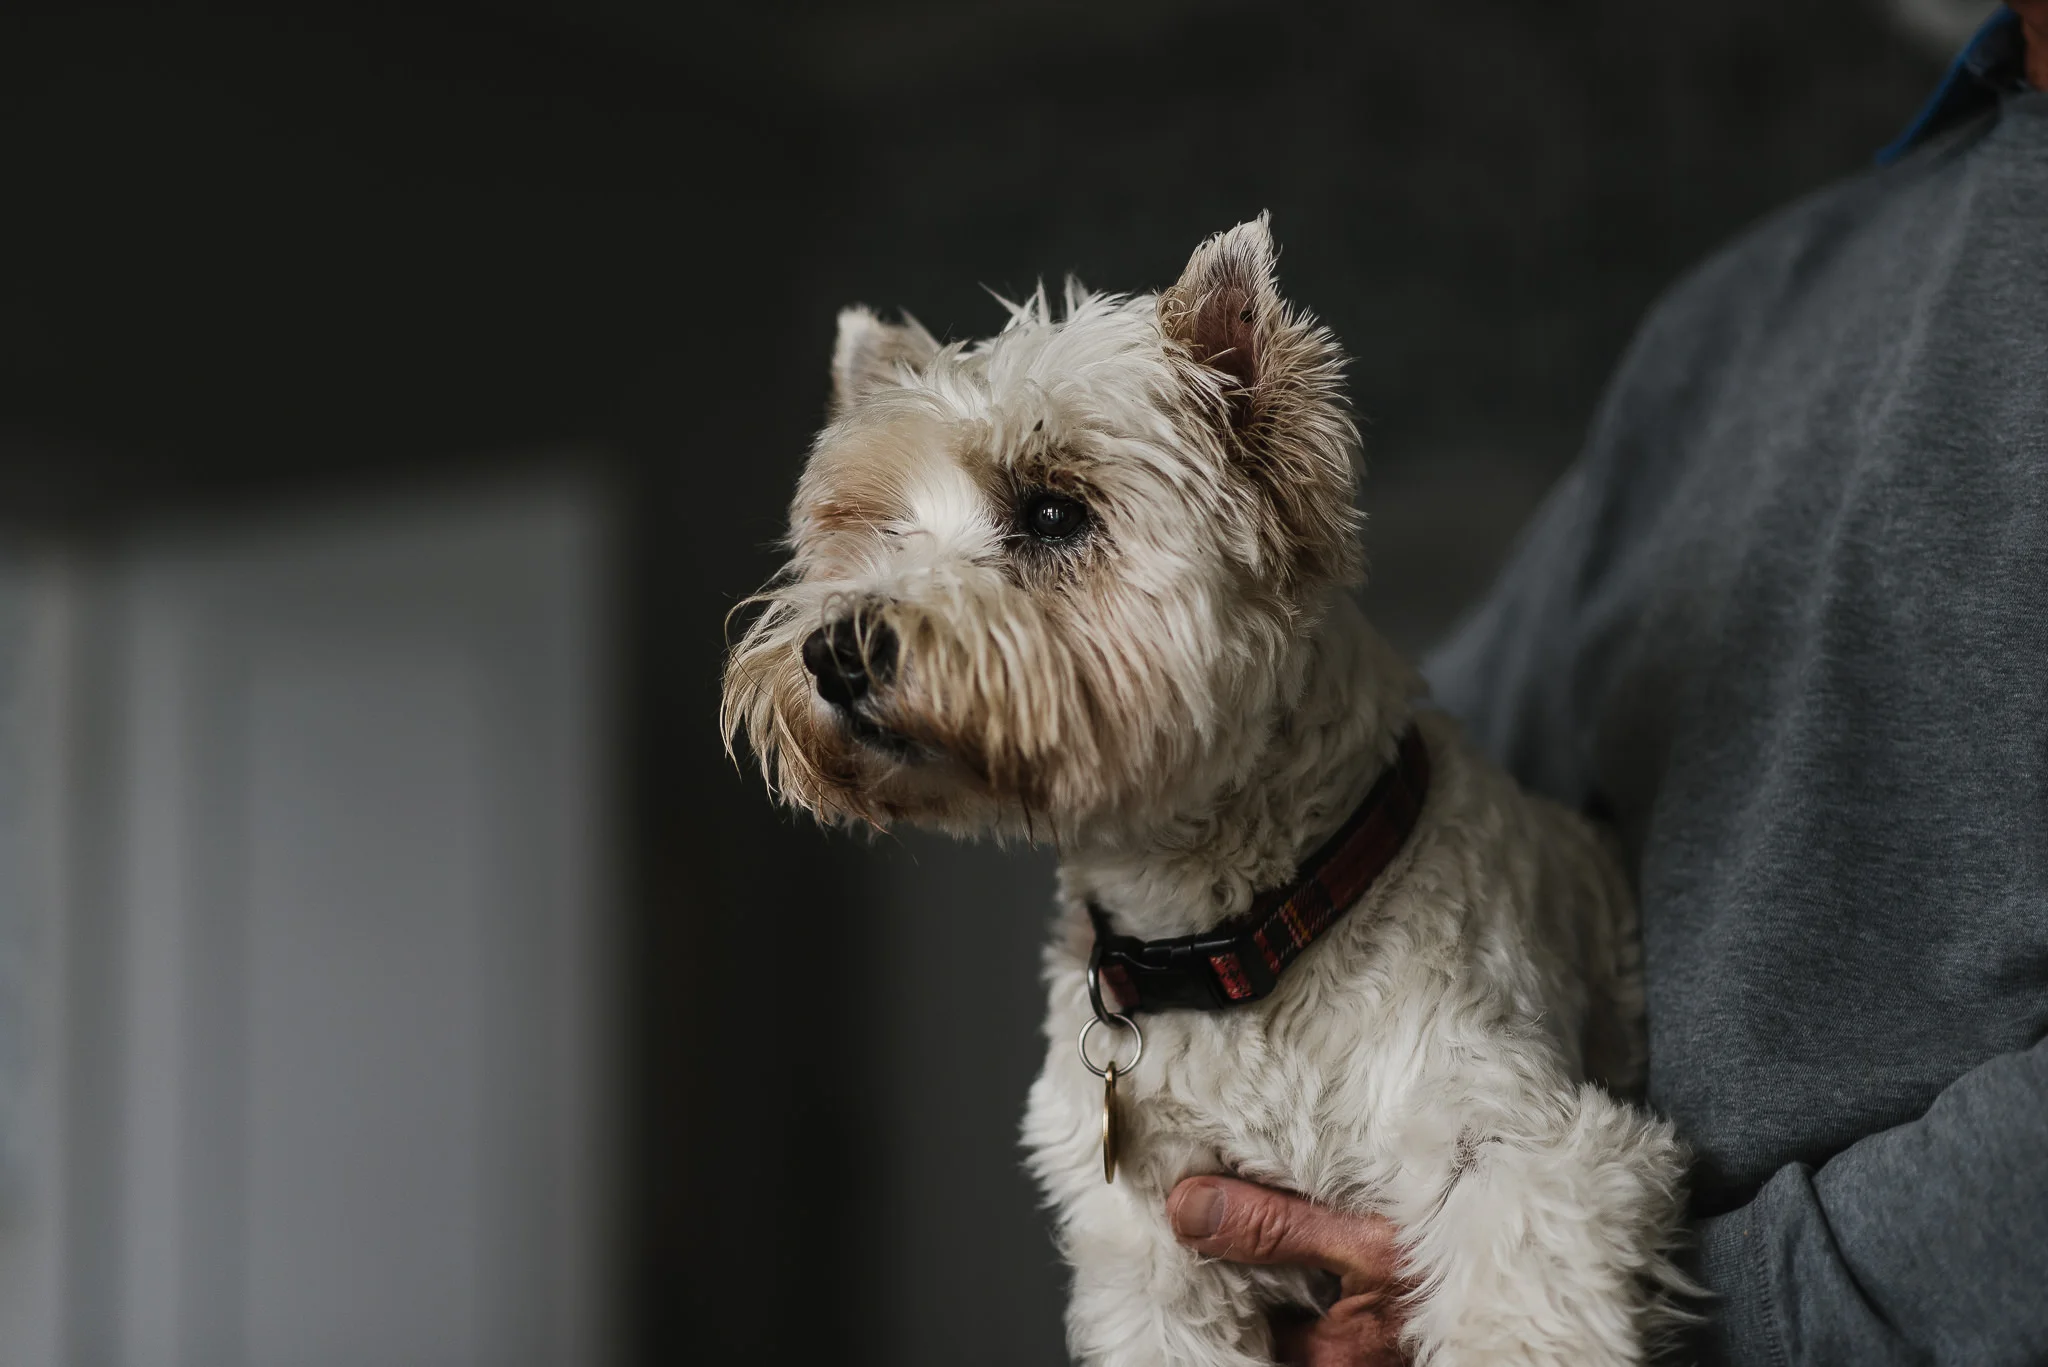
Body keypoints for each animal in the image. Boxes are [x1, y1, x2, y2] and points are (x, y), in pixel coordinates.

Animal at [729, 219, 1687, 1360]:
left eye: (1051, 511)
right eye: (876, 530)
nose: (833, 652)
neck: (1235, 933)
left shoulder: (1521, 1147)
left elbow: (1519, 1300)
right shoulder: (1149, 1261)